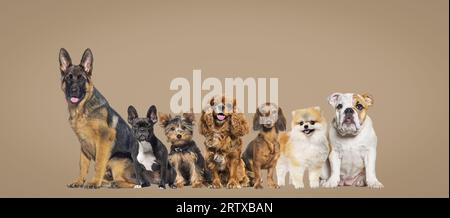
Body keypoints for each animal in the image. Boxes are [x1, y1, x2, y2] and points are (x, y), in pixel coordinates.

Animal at [59, 48, 146, 188]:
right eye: (68, 78)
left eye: (81, 79)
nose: (73, 90)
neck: (82, 109)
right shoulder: (83, 145)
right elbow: (82, 165)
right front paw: (79, 181)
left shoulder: (104, 139)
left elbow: (99, 163)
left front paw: (94, 182)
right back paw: (106, 183)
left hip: (116, 160)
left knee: (133, 183)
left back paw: (114, 183)